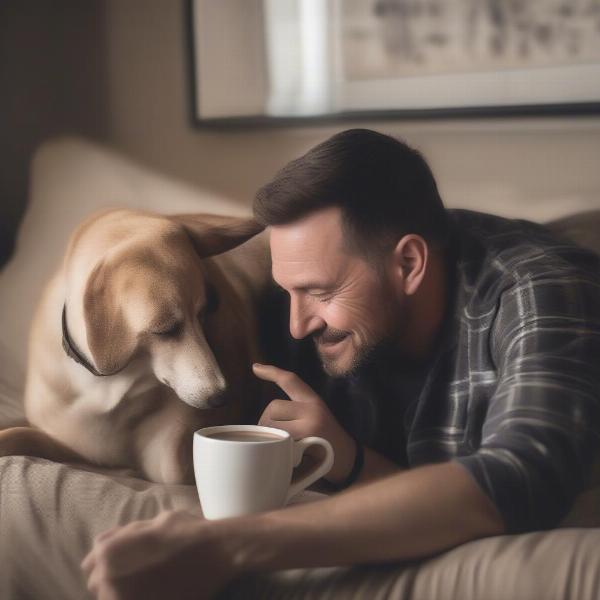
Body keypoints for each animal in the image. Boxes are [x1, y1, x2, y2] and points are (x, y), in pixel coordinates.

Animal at [0, 209, 270, 486]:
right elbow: (17, 435)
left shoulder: (172, 463)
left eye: (204, 314)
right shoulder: (66, 440)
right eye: (165, 330)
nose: (222, 398)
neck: (106, 382)